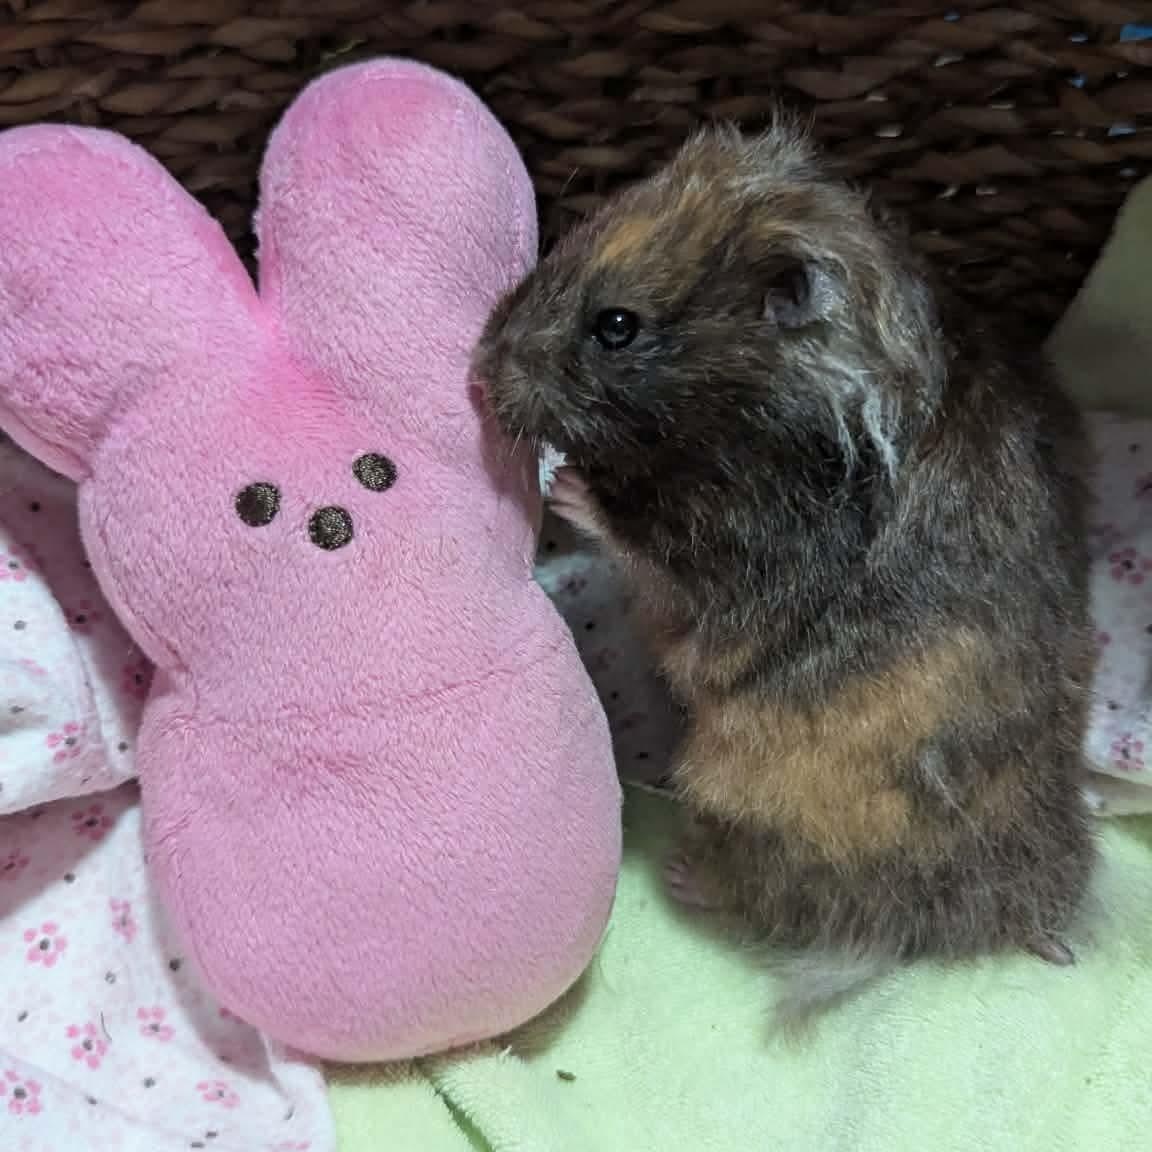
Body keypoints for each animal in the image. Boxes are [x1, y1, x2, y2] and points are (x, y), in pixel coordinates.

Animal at [474, 120, 1096, 1023]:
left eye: (616, 326)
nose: (481, 368)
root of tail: (1007, 919)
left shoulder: (732, 561)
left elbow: (640, 540)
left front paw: (565, 484)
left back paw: (686, 876)